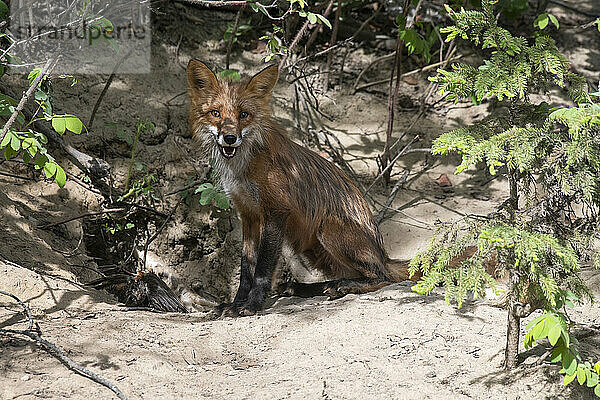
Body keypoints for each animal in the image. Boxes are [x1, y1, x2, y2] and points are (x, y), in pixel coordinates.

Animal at [188, 61, 418, 316]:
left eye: (244, 115)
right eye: (216, 113)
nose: (229, 138)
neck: (244, 166)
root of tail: (384, 254)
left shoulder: (276, 211)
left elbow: (263, 269)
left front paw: (252, 305)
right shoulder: (248, 215)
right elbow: (246, 267)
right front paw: (236, 303)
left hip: (328, 229)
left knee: (382, 276)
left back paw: (344, 286)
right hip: (313, 250)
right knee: (344, 276)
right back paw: (308, 288)